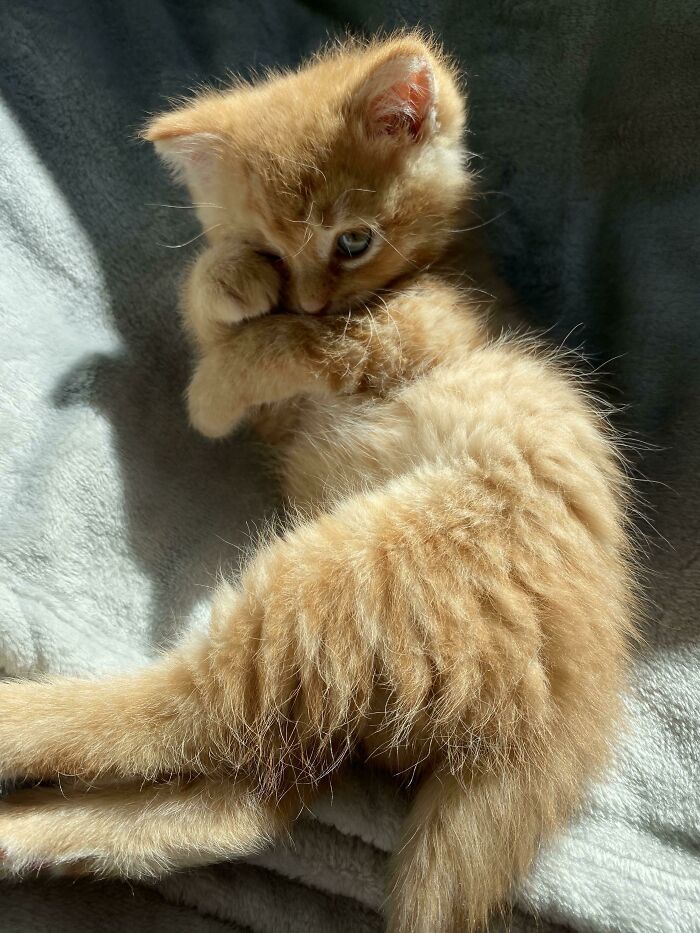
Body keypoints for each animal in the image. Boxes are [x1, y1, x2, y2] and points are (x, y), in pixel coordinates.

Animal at [0, 32, 640, 928]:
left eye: (352, 242)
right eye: (274, 245)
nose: (302, 297)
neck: (446, 260)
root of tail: (564, 710)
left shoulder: (412, 333)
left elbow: (277, 351)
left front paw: (209, 389)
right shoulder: (282, 414)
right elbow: (215, 314)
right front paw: (227, 279)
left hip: (338, 586)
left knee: (172, 716)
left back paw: (12, 722)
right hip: (343, 678)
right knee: (237, 802)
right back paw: (19, 833)